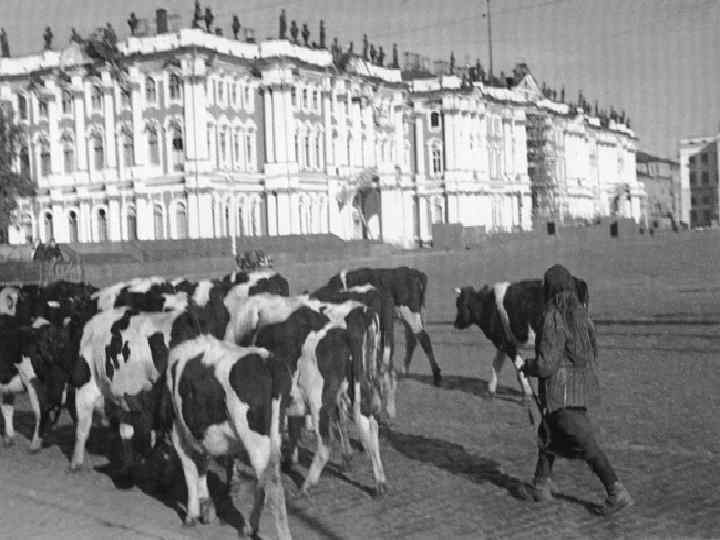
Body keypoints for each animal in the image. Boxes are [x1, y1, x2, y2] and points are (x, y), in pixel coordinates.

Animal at [166, 336, 291, 539]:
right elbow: (201, 467)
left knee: (273, 486)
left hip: (255, 438)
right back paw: (250, 527)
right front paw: (206, 508)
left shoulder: (179, 432)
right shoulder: (200, 436)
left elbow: (190, 470)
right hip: (276, 433)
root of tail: (267, 360)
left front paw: (192, 515)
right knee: (265, 479)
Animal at [453, 277, 590, 399]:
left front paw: (527, 393)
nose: (455, 324)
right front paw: (491, 391)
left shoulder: (507, 345)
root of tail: (577, 281)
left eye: (459, 305)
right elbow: (497, 365)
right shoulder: (503, 343)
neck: (488, 305)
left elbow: (518, 365)